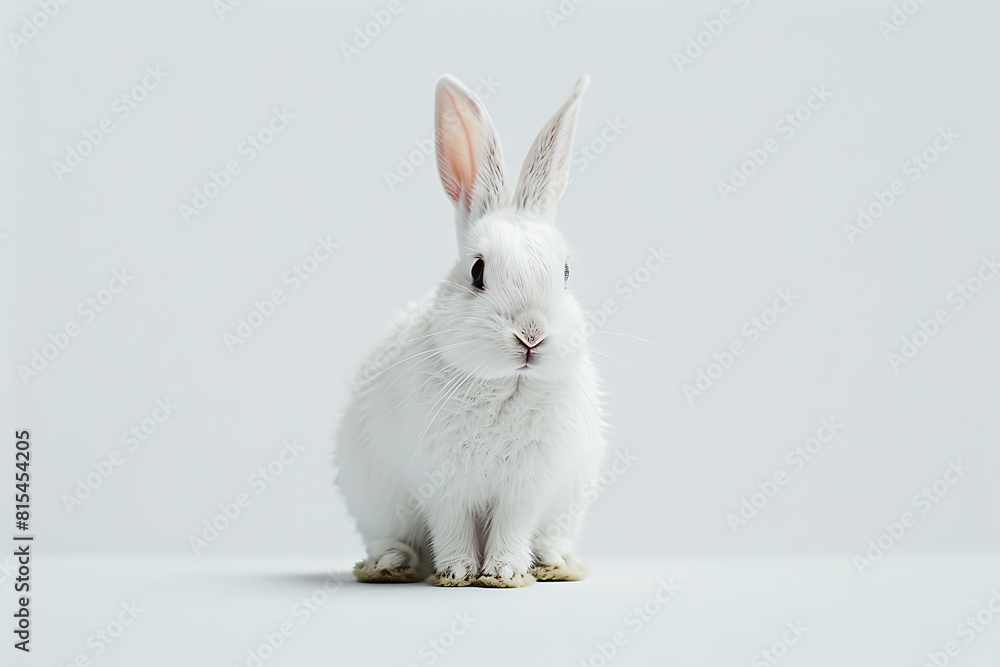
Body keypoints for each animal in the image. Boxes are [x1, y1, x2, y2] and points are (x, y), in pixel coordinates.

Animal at [334, 73, 608, 588]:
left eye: (565, 273)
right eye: (478, 271)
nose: (531, 335)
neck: (506, 384)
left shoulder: (526, 487)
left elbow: (512, 527)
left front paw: (502, 572)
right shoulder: (443, 484)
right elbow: (453, 527)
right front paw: (459, 571)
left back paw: (554, 564)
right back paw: (390, 564)